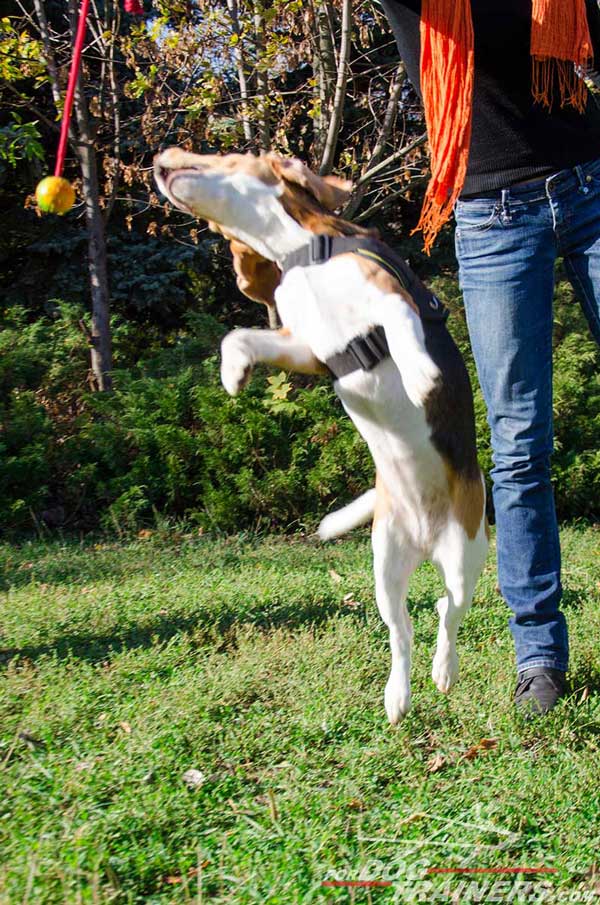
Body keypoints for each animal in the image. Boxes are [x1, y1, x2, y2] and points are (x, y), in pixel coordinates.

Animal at [154, 150, 488, 728]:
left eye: (221, 156)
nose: (159, 162)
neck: (302, 254)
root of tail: (426, 540)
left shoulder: (392, 298)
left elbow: (400, 328)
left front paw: (421, 375)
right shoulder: (309, 347)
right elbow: (237, 336)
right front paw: (233, 372)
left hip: (466, 555)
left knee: (449, 611)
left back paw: (444, 671)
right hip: (384, 565)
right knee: (404, 631)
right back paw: (397, 696)